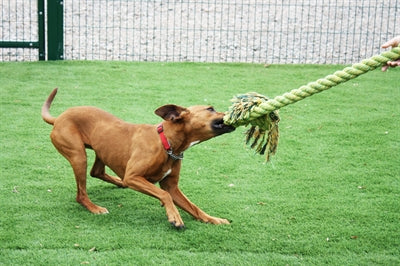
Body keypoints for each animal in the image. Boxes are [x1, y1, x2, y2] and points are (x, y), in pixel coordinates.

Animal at [41, 89, 234, 229]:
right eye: (210, 109)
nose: (231, 111)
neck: (166, 142)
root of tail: (58, 118)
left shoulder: (171, 186)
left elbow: (193, 206)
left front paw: (213, 219)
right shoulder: (134, 177)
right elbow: (164, 195)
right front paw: (174, 217)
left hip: (102, 150)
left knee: (97, 172)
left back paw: (118, 183)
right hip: (78, 156)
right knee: (81, 193)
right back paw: (94, 207)